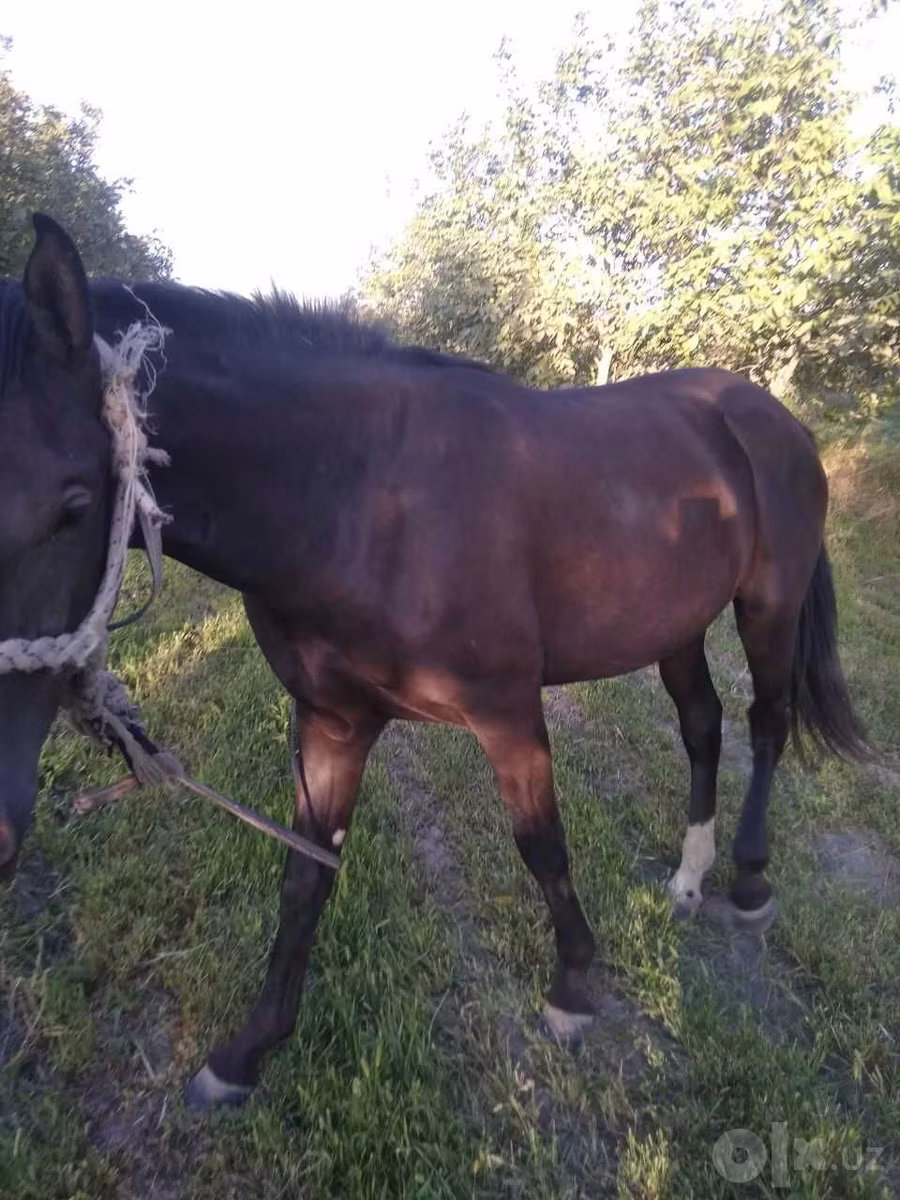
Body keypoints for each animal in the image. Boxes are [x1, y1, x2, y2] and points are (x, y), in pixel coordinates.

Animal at [0, 214, 870, 1109]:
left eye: (73, 506)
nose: (0, 832)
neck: (361, 495)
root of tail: (767, 413)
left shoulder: (507, 711)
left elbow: (541, 844)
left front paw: (572, 988)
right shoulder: (333, 723)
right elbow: (306, 875)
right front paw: (244, 1053)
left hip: (768, 605)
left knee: (768, 722)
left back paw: (750, 884)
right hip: (675, 625)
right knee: (702, 726)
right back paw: (690, 880)